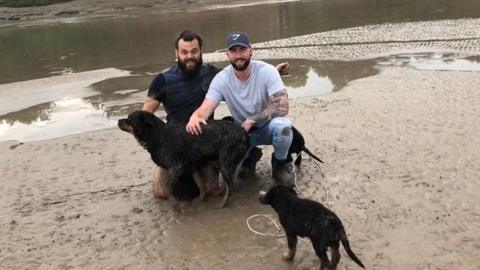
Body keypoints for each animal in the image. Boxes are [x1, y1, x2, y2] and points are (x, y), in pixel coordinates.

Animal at [118, 109, 249, 207]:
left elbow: (170, 186)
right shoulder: (192, 166)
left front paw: (175, 204)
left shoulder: (176, 167)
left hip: (225, 164)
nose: (119, 120)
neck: (157, 136)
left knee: (230, 186)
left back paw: (222, 203)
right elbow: (200, 186)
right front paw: (200, 200)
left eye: (129, 119)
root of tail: (242, 131)